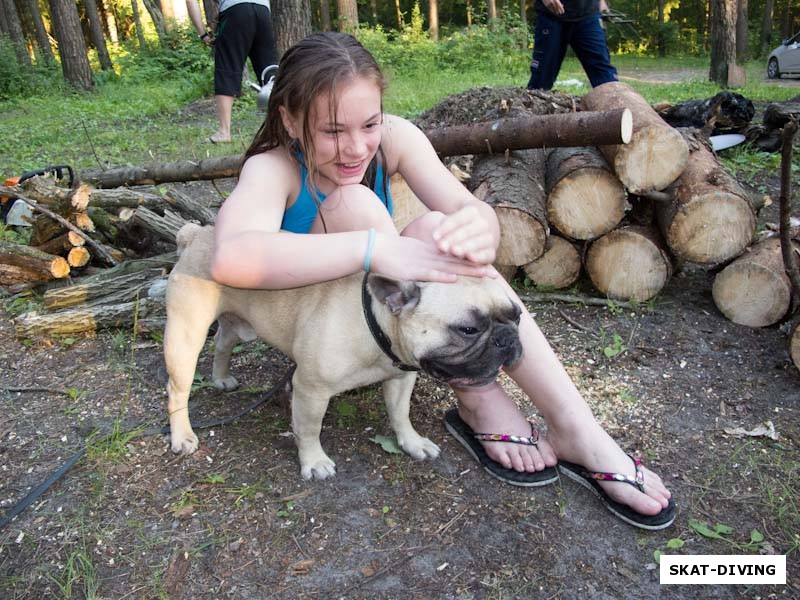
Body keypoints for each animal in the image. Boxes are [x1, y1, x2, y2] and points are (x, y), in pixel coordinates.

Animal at [164, 223, 524, 480]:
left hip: (236, 323)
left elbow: (400, 413)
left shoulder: (401, 379)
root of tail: (197, 234)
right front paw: (314, 461)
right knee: (177, 387)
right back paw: (182, 436)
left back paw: (221, 378)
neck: (374, 325)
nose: (508, 337)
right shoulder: (310, 390)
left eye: (517, 315)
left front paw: (411, 442)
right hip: (186, 335)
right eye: (468, 329)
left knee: (223, 342)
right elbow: (309, 428)